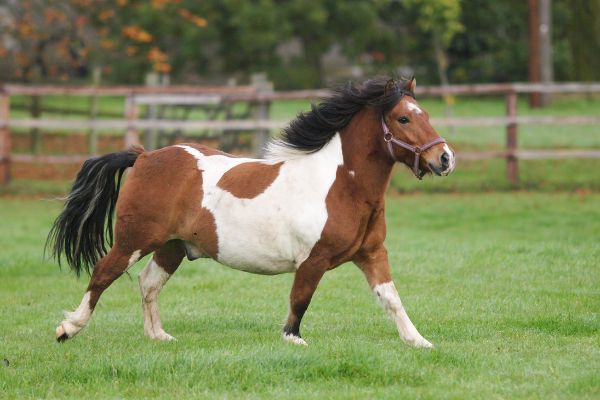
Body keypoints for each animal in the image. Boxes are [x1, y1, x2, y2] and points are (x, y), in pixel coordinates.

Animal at [47, 77, 454, 346]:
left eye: (425, 114)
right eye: (403, 119)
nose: (445, 158)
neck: (341, 185)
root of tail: (145, 156)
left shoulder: (371, 254)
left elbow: (391, 298)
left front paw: (419, 342)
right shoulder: (313, 260)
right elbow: (299, 301)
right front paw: (293, 340)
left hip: (172, 246)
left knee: (149, 283)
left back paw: (158, 335)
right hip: (134, 240)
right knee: (103, 273)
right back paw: (68, 328)